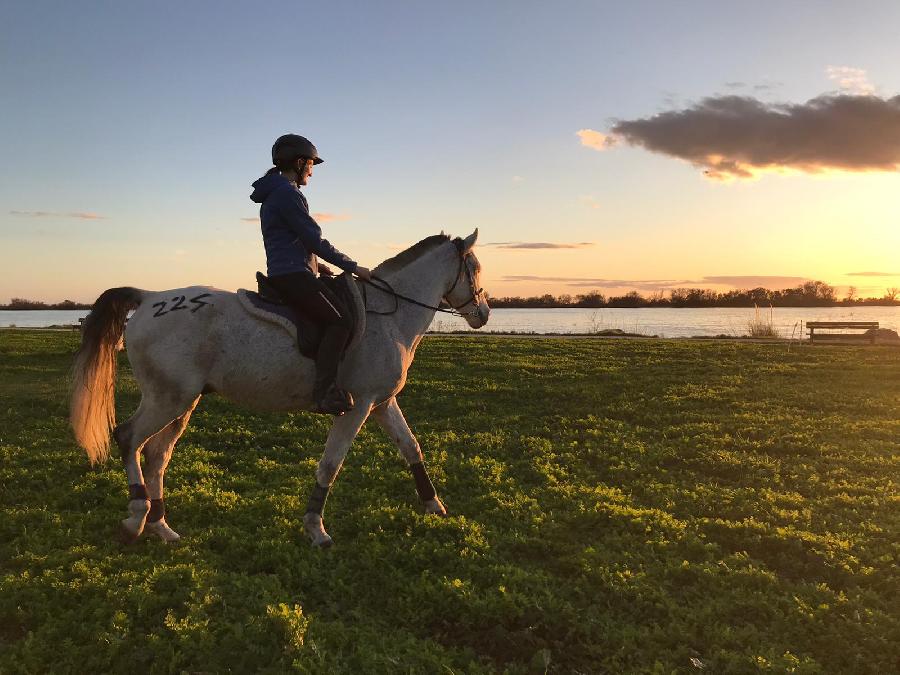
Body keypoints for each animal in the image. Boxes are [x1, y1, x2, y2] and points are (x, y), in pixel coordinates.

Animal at [70, 230, 492, 548]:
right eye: (474, 268)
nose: (484, 313)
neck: (389, 316)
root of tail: (149, 298)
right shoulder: (357, 406)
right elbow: (331, 463)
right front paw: (315, 528)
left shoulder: (382, 402)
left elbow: (411, 447)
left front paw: (434, 505)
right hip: (167, 399)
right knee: (129, 438)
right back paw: (136, 519)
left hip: (182, 402)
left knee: (157, 454)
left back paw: (161, 527)